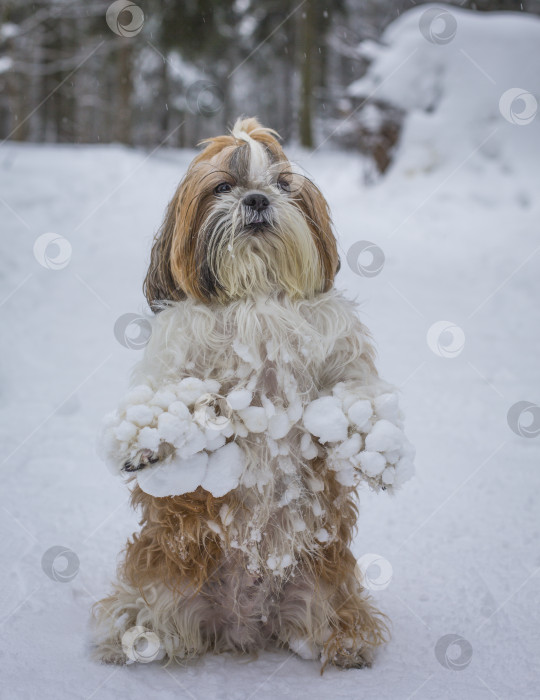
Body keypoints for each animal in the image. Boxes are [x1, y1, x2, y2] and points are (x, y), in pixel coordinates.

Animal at [94, 117, 414, 668]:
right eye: (223, 187)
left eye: (284, 185)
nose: (258, 199)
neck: (257, 293)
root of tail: (241, 623)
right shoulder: (181, 362)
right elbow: (176, 401)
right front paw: (149, 441)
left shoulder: (339, 357)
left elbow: (355, 392)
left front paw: (374, 447)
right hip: (164, 576)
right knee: (150, 612)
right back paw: (137, 640)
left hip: (324, 583)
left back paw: (344, 644)